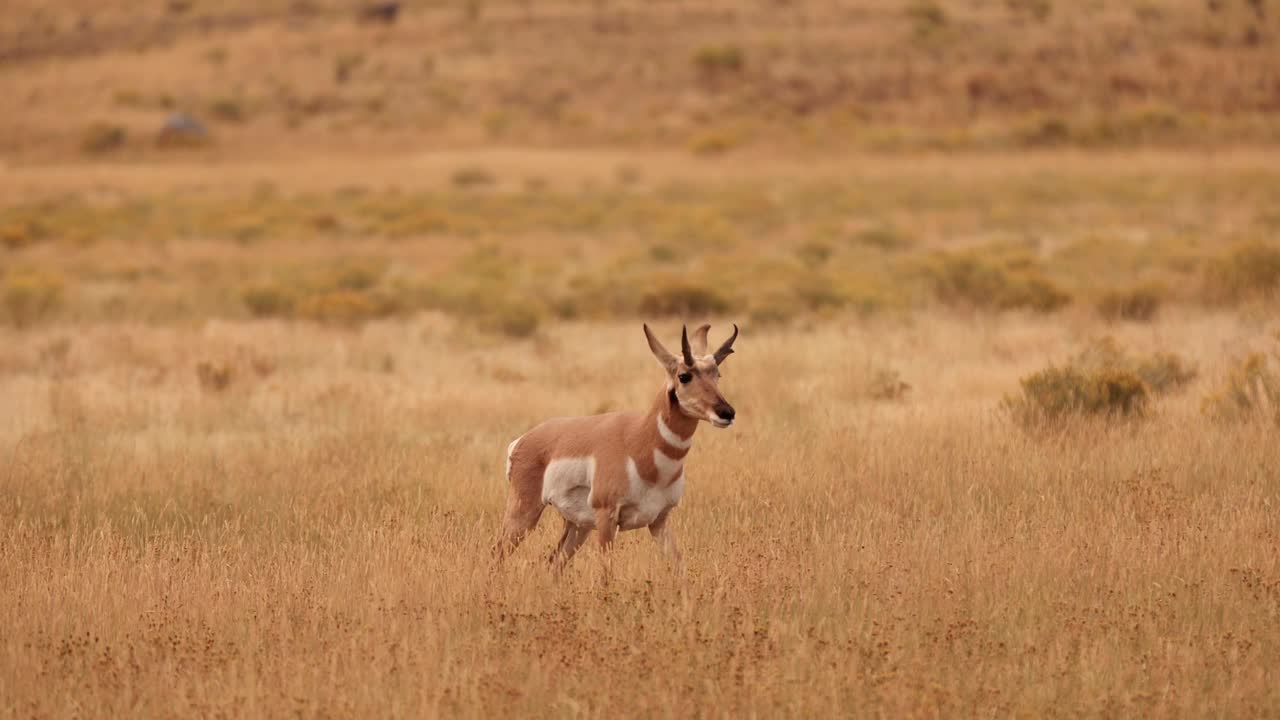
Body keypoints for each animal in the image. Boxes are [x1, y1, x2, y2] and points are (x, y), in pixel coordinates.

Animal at [499, 324, 742, 566]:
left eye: (717, 374)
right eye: (684, 376)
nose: (727, 412)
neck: (639, 443)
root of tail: (523, 440)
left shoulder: (659, 521)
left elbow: (678, 564)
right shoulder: (607, 518)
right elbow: (607, 572)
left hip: (578, 526)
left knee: (553, 563)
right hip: (524, 514)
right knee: (498, 553)